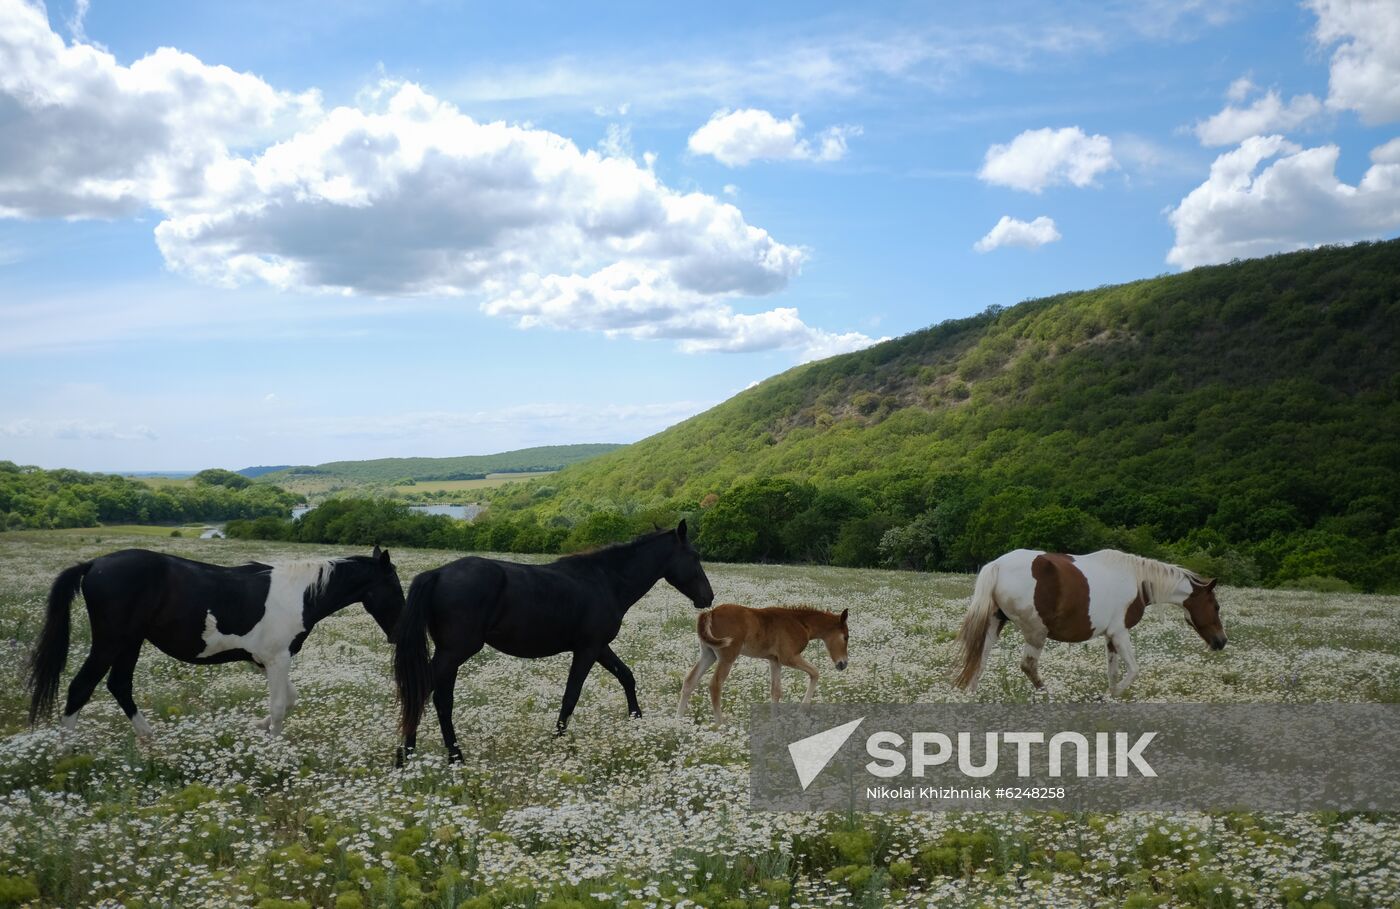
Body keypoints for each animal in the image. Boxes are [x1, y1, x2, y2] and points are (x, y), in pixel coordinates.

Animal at [25, 546, 406, 739]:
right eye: (394, 586)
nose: (398, 632)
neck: (299, 594)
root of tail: (92, 565)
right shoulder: (278, 658)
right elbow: (280, 706)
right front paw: (276, 747)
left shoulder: (264, 660)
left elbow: (289, 699)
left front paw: (258, 728)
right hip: (110, 642)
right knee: (80, 687)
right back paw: (67, 756)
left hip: (130, 642)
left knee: (119, 685)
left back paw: (150, 741)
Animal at [400, 518, 716, 756]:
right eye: (694, 557)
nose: (708, 597)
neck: (606, 580)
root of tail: (437, 574)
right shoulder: (587, 649)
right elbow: (571, 695)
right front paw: (558, 740)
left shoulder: (600, 647)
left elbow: (626, 676)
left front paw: (636, 720)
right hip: (454, 651)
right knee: (431, 694)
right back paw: (434, 756)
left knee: (432, 695)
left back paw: (419, 756)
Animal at [672, 602, 845, 722]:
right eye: (846, 637)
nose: (843, 664)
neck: (801, 623)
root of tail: (711, 612)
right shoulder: (789, 657)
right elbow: (815, 672)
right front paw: (802, 709)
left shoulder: (775, 660)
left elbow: (776, 691)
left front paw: (775, 722)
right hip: (728, 656)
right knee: (715, 685)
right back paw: (720, 724)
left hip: (709, 654)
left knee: (690, 680)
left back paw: (677, 721)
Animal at [952, 549, 1226, 697]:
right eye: (1216, 606)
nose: (1221, 641)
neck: (1137, 581)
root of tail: (997, 565)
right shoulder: (1120, 632)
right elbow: (1133, 670)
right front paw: (1110, 696)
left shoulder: (1110, 637)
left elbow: (1113, 672)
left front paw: (1111, 697)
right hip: (1035, 632)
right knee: (1028, 666)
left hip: (994, 624)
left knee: (980, 660)